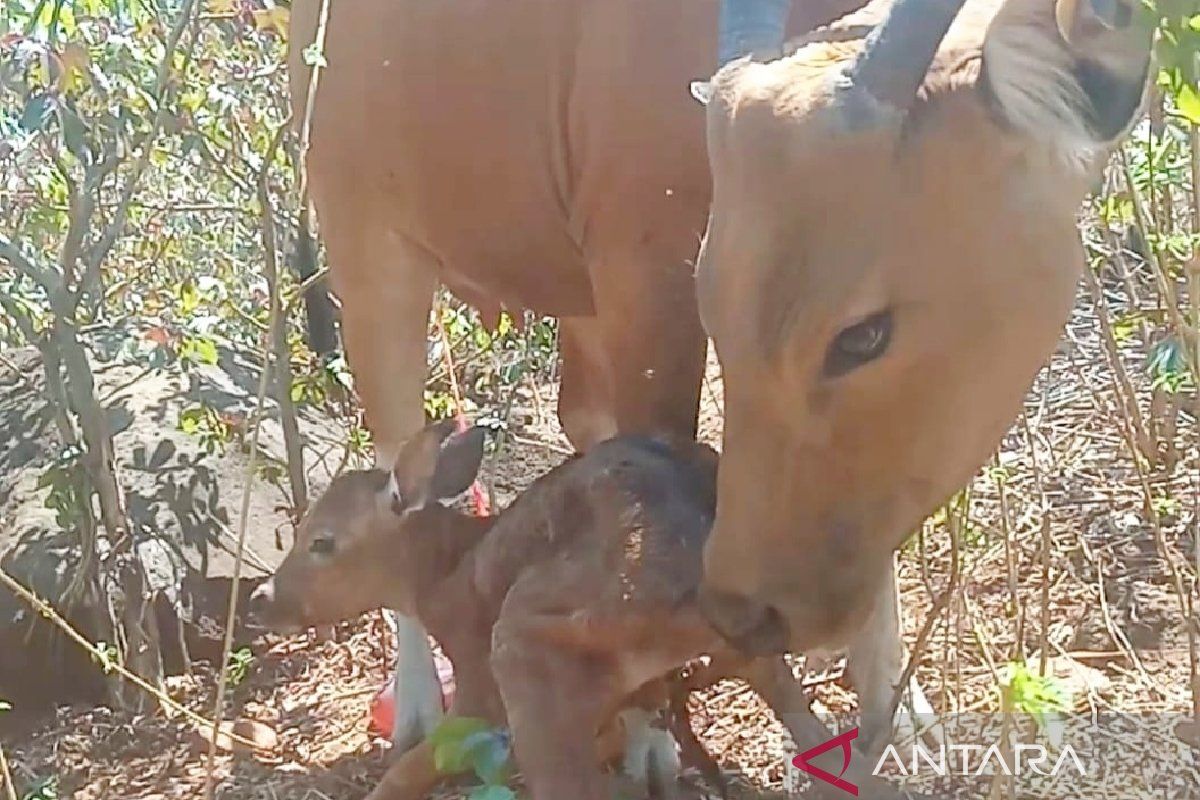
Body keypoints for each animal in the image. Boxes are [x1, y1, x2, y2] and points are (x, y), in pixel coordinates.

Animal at [253, 422, 907, 796]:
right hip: (748, 653)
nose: (264, 600)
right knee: (831, 746)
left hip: (526, 647)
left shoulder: (480, 682)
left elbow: (413, 766)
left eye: (322, 542)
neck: (446, 574)